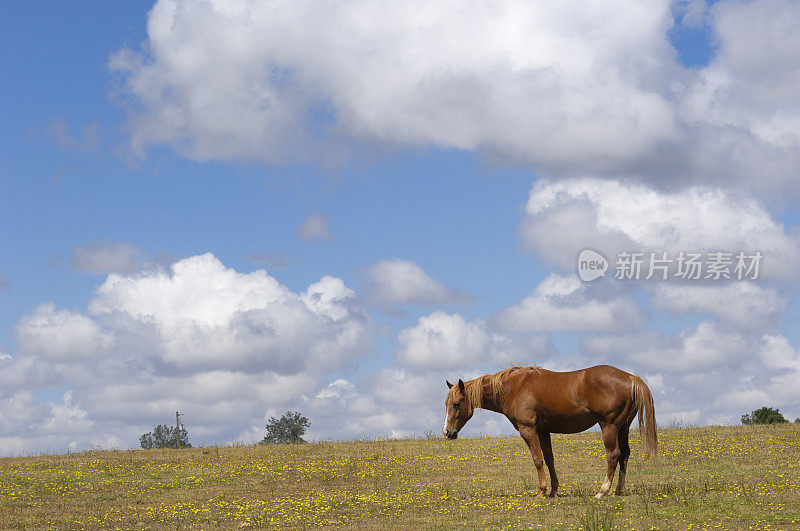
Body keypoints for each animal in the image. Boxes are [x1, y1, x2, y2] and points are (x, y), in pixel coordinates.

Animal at [444, 366, 656, 498]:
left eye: (456, 404)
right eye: (446, 404)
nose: (447, 432)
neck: (515, 387)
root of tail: (631, 378)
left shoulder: (528, 430)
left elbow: (537, 460)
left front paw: (541, 491)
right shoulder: (544, 432)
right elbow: (549, 459)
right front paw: (554, 490)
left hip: (609, 426)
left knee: (613, 455)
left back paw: (602, 491)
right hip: (623, 427)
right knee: (625, 454)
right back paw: (618, 490)